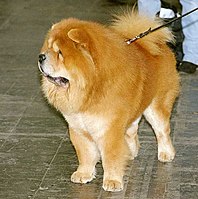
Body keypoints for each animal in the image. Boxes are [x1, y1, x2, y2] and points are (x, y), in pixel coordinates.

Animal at [38, 10, 180, 191]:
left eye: (60, 53)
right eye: (48, 48)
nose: (41, 57)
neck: (91, 87)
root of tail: (161, 45)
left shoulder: (109, 128)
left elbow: (110, 157)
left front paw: (112, 182)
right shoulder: (78, 128)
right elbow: (85, 154)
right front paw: (83, 174)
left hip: (156, 107)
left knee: (162, 131)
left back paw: (166, 154)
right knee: (132, 131)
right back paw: (132, 152)